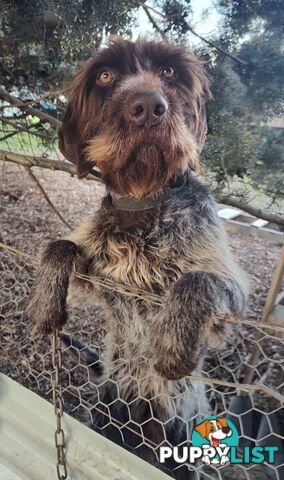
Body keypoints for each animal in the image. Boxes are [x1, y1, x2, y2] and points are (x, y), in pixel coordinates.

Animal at [27, 38, 247, 480]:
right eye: (105, 75)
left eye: (170, 73)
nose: (148, 106)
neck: (142, 204)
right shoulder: (94, 274)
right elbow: (60, 245)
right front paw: (45, 300)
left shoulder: (226, 309)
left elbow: (200, 279)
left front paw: (172, 341)